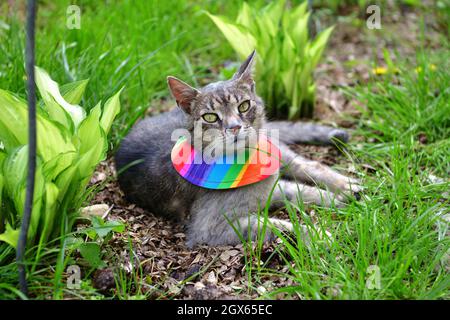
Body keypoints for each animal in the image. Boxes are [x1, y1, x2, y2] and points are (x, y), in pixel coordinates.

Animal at [114, 50, 360, 248]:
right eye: (210, 117)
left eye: (244, 106)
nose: (234, 127)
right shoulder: (212, 228)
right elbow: (277, 223)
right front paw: (319, 233)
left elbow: (298, 189)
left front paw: (336, 198)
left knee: (307, 164)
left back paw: (345, 184)